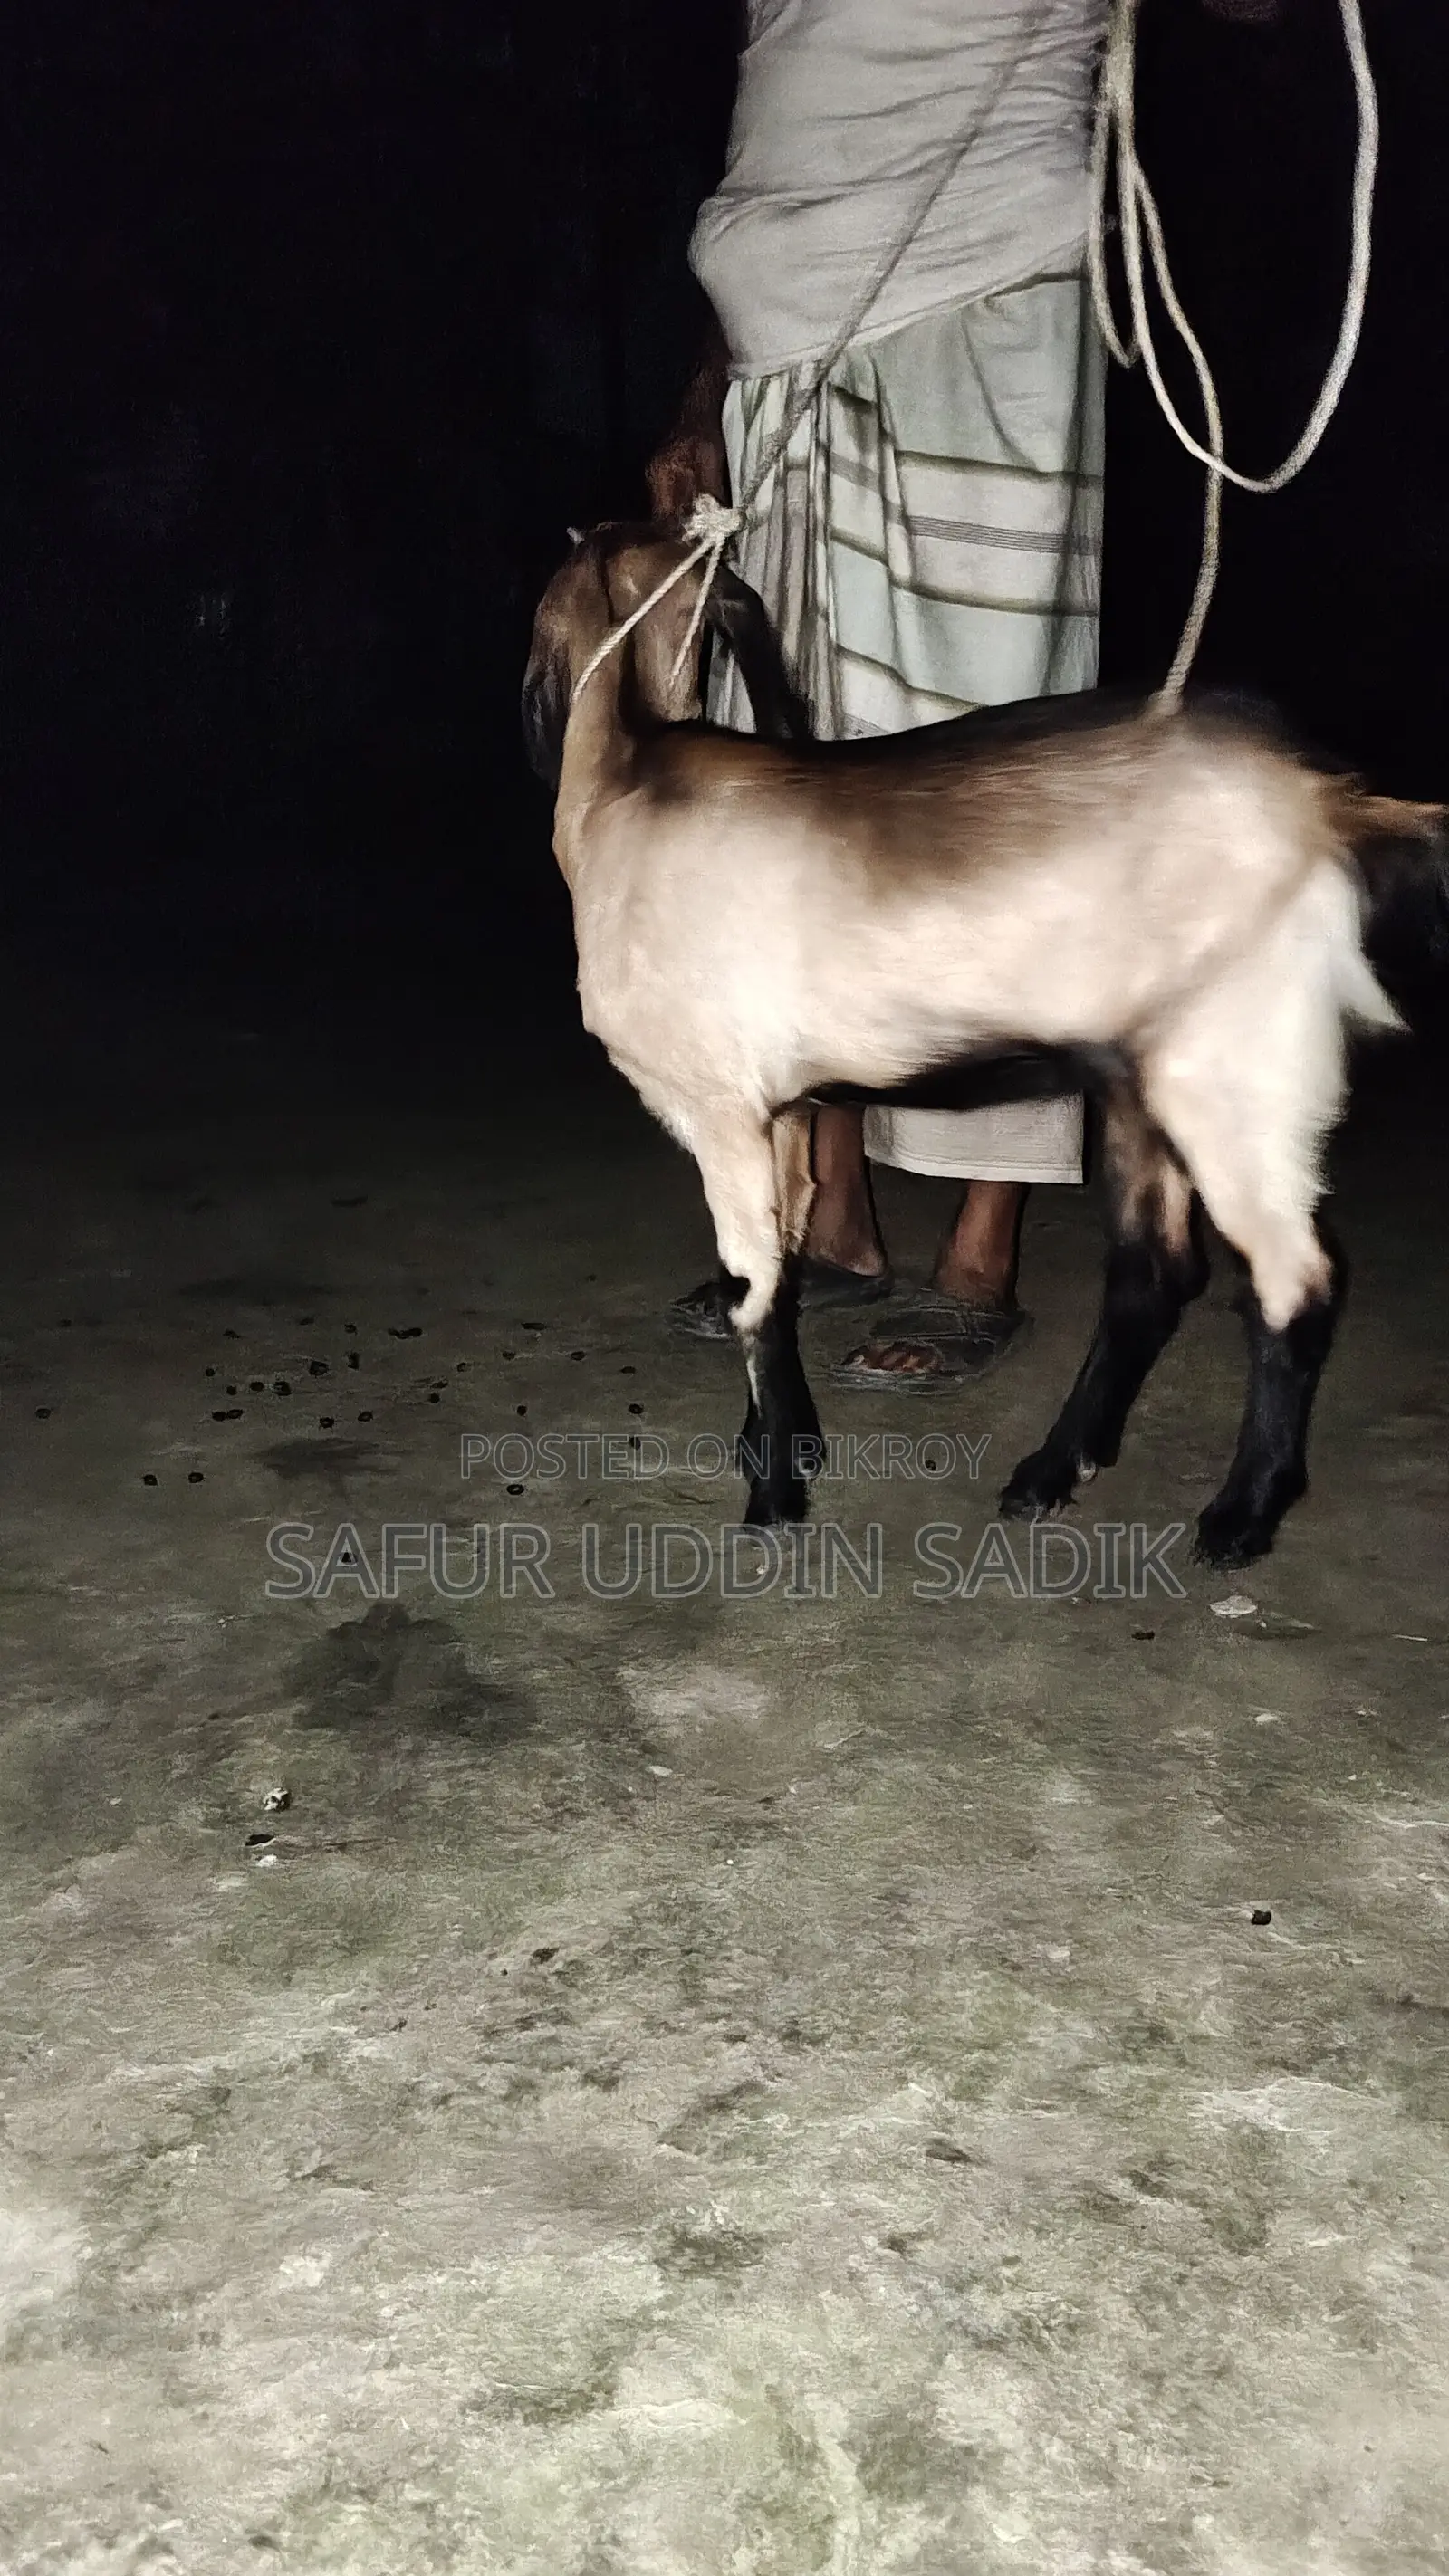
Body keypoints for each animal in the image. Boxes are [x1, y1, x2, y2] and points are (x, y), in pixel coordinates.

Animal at [523, 522, 1447, 1568]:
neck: (624, 779)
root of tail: (1335, 804)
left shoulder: (717, 1108)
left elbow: (751, 1292)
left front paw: (773, 1501)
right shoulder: (785, 1108)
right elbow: (784, 1271)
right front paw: (780, 1442)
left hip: (1236, 1077)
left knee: (1295, 1282)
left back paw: (1240, 1515)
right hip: (1143, 1083)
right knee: (1153, 1275)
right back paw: (1051, 1472)